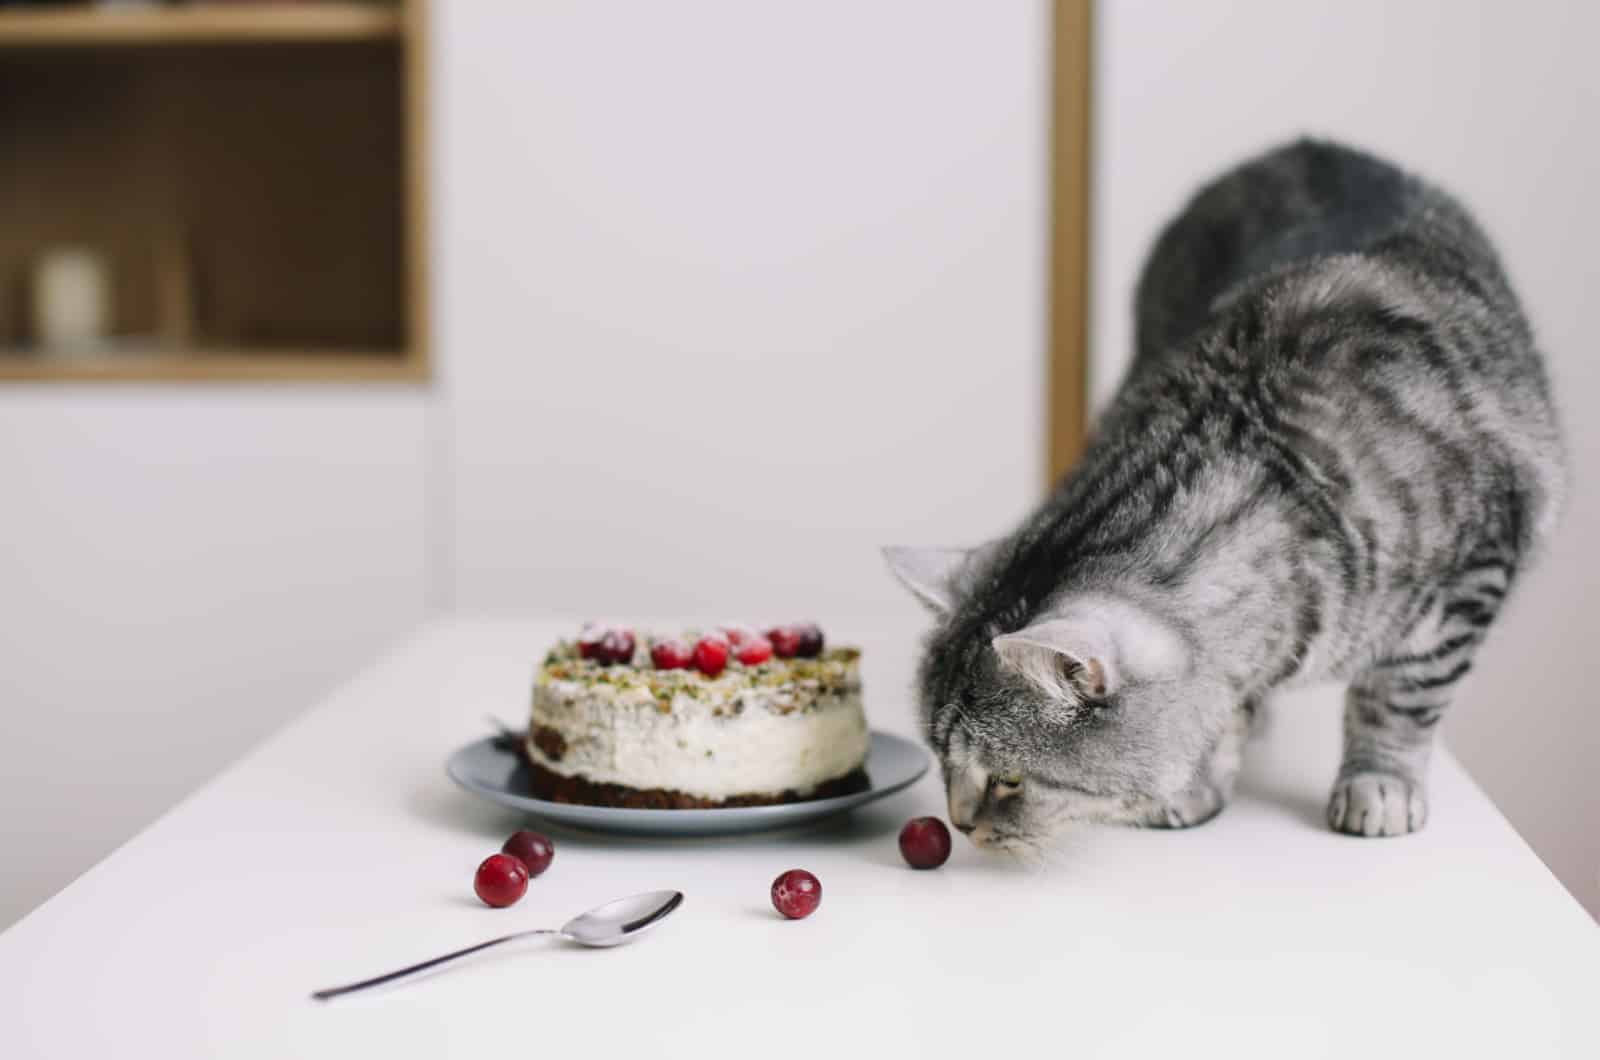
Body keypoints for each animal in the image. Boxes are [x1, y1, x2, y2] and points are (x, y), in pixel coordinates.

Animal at [883, 139, 1568, 858]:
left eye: (1008, 779)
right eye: (938, 756)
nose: (960, 825)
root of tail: (1301, 145)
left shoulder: (1473, 575)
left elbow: (1398, 699)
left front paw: (1380, 782)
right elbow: (1226, 706)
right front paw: (1198, 779)